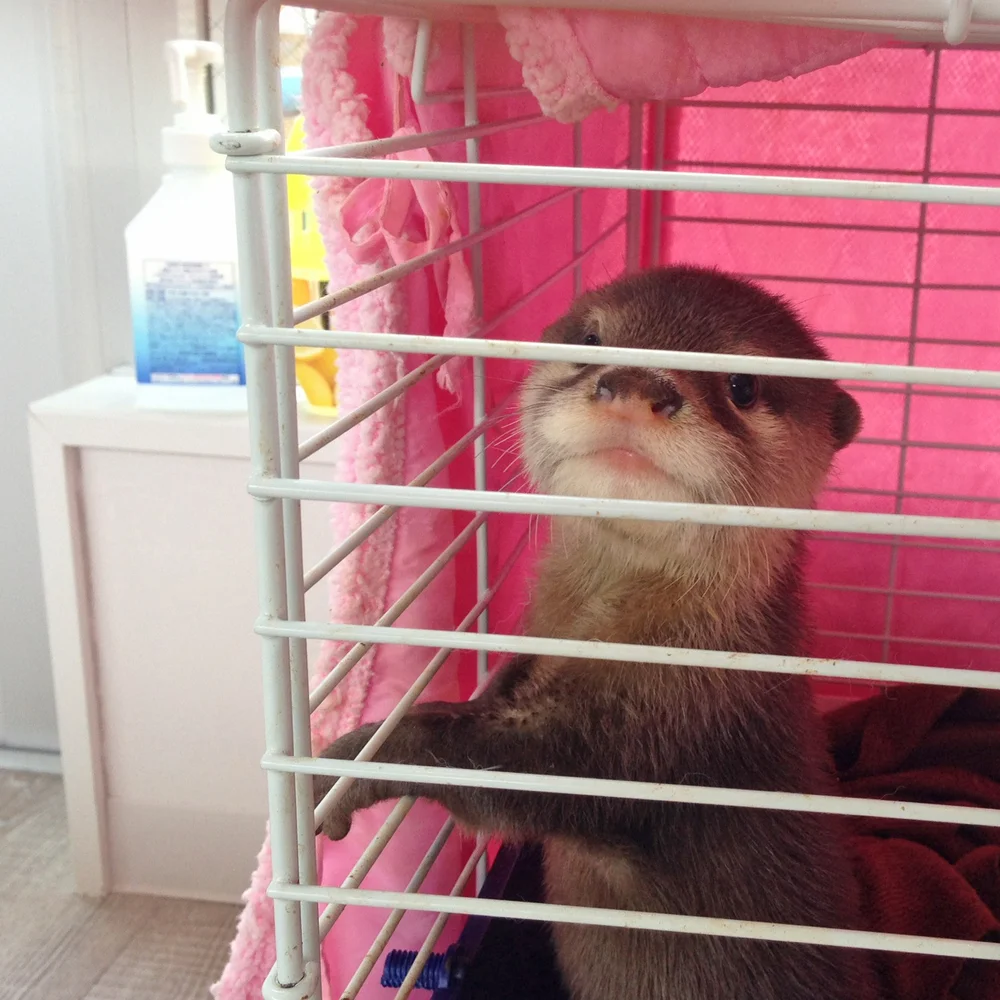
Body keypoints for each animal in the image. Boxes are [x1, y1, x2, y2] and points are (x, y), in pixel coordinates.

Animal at [315, 266, 873, 1000]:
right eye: (589, 339)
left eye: (744, 384)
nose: (636, 385)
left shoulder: (660, 731)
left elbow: (496, 766)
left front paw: (350, 762)